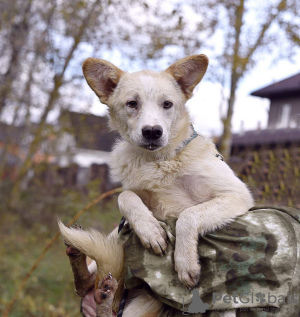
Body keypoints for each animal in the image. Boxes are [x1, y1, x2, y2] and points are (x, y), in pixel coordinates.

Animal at [59, 55, 253, 316]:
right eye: (132, 103)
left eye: (167, 104)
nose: (152, 132)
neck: (160, 161)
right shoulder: (136, 197)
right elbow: (125, 197)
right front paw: (150, 231)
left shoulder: (235, 195)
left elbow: (188, 216)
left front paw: (185, 262)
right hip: (115, 241)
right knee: (86, 284)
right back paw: (81, 262)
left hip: (145, 303)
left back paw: (105, 294)